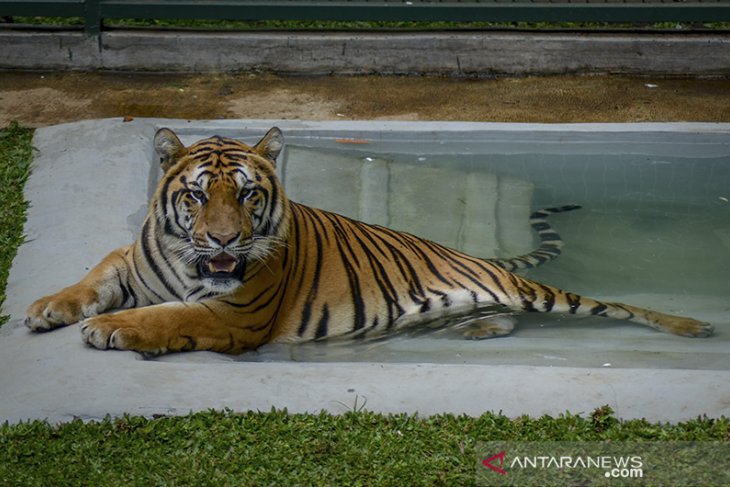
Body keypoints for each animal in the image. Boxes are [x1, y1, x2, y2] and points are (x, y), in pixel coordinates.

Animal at [24, 126, 712, 354]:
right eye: (196, 196)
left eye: (247, 196)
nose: (222, 241)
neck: (187, 260)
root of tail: (471, 257)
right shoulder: (129, 259)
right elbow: (93, 277)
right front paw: (47, 308)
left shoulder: (234, 314)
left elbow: (165, 316)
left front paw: (114, 328)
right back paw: (479, 329)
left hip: (541, 291)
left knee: (612, 306)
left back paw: (693, 326)